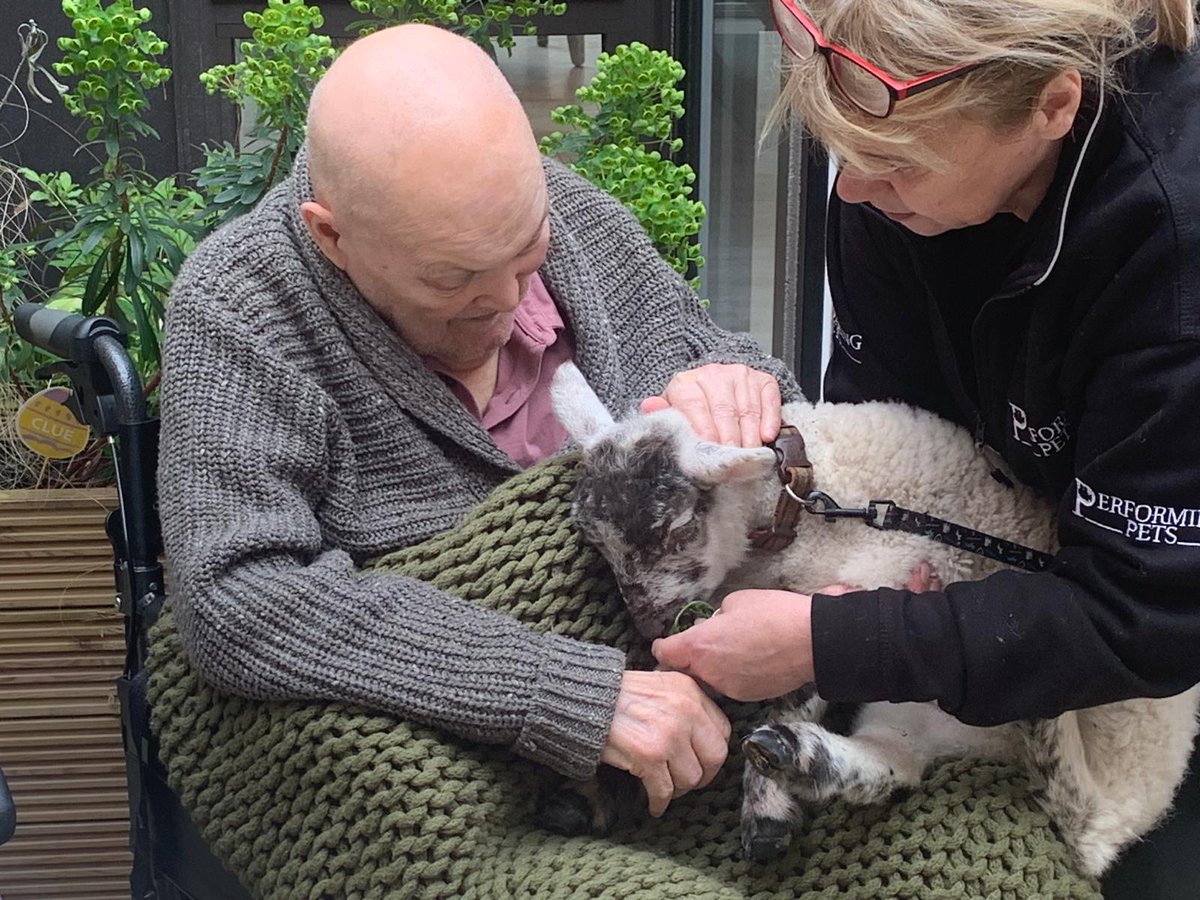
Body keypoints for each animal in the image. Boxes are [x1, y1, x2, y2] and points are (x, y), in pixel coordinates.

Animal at [549, 362, 1200, 878]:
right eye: (597, 542)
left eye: (675, 528)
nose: (649, 626)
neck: (802, 507)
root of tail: (1114, 820)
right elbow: (687, 683)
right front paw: (606, 780)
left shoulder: (854, 591)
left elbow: (788, 683)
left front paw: (763, 804)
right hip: (929, 720)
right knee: (899, 765)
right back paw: (800, 759)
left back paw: (780, 769)